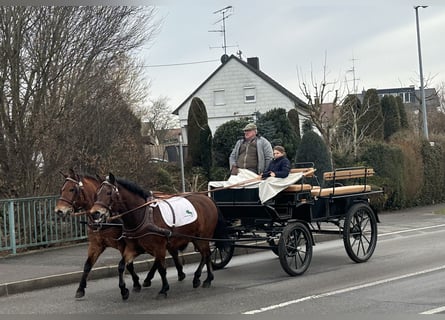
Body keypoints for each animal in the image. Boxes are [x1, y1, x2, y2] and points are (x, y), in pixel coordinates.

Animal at [54, 169, 186, 298]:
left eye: (72, 189)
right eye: (61, 189)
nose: (59, 210)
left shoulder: (124, 244)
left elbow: (128, 265)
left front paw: (134, 284)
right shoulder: (96, 245)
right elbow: (87, 265)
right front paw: (80, 288)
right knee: (167, 253)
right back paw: (172, 274)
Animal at [89, 174, 227, 298]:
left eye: (108, 193)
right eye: (96, 194)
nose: (95, 213)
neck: (143, 215)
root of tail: (207, 198)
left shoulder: (159, 247)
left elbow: (161, 269)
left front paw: (164, 289)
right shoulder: (134, 248)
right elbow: (122, 265)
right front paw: (124, 290)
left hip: (204, 236)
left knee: (206, 254)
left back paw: (207, 279)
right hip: (196, 238)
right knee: (205, 254)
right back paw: (199, 278)